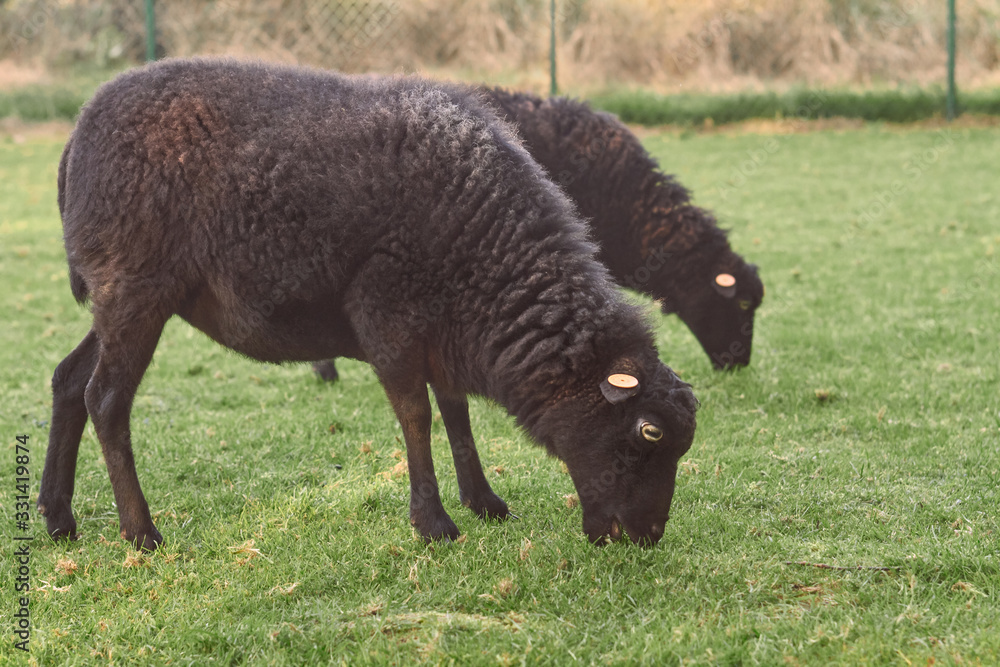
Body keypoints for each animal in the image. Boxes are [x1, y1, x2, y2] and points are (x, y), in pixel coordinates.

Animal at [39, 57, 696, 552]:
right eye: (649, 432)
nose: (647, 535)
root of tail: (76, 136)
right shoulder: (390, 318)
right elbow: (418, 416)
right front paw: (434, 524)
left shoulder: (443, 326)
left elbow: (455, 412)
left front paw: (483, 500)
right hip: (135, 286)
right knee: (107, 399)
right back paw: (140, 533)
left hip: (124, 297)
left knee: (69, 380)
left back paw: (56, 517)